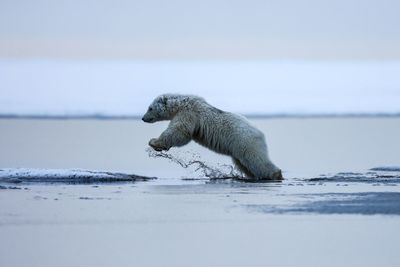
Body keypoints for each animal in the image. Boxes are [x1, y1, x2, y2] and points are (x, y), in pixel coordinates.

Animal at [142, 94, 282, 182]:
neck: (180, 103)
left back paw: (276, 175)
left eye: (150, 108)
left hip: (245, 141)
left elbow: (180, 131)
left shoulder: (189, 113)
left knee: (256, 160)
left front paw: (154, 142)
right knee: (244, 164)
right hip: (238, 149)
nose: (143, 118)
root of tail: (260, 133)